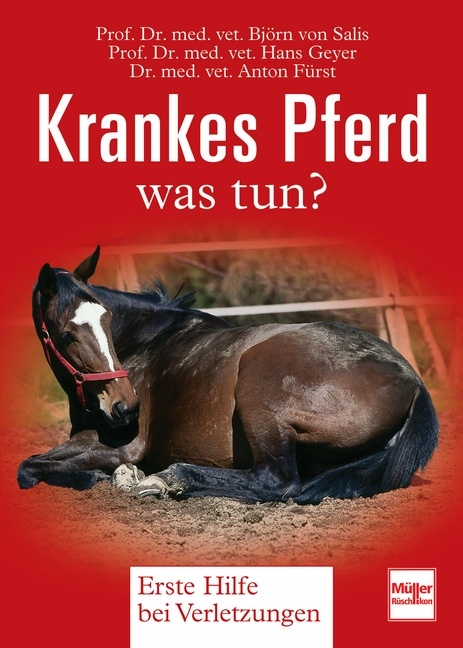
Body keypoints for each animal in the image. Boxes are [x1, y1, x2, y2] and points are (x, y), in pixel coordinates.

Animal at [17, 246, 439, 504]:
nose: (126, 407)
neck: (145, 342)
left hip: (260, 392)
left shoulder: (120, 445)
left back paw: (167, 479)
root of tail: (413, 381)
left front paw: (101, 477)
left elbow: (28, 467)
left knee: (277, 480)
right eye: (67, 334)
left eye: (106, 319)